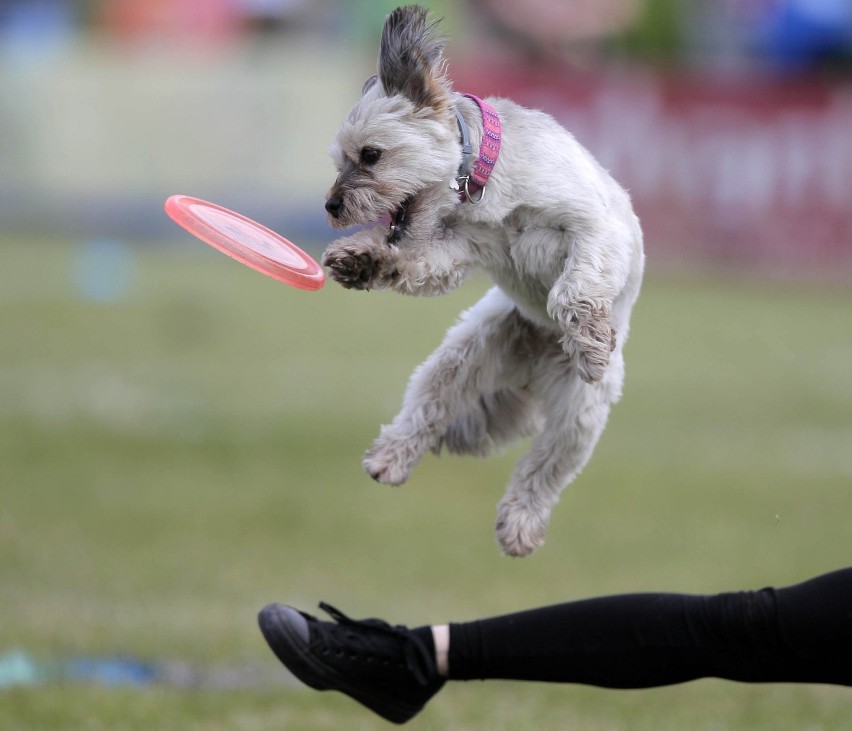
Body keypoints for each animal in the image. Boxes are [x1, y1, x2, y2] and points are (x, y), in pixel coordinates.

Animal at [322, 5, 644, 556]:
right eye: (341, 160)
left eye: (370, 155)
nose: (332, 205)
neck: (489, 183)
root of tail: (532, 364)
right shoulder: (461, 247)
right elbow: (412, 261)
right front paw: (364, 260)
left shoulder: (595, 230)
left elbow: (573, 288)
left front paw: (589, 341)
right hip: (458, 360)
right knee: (427, 412)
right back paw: (390, 458)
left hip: (577, 418)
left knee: (543, 470)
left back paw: (520, 523)